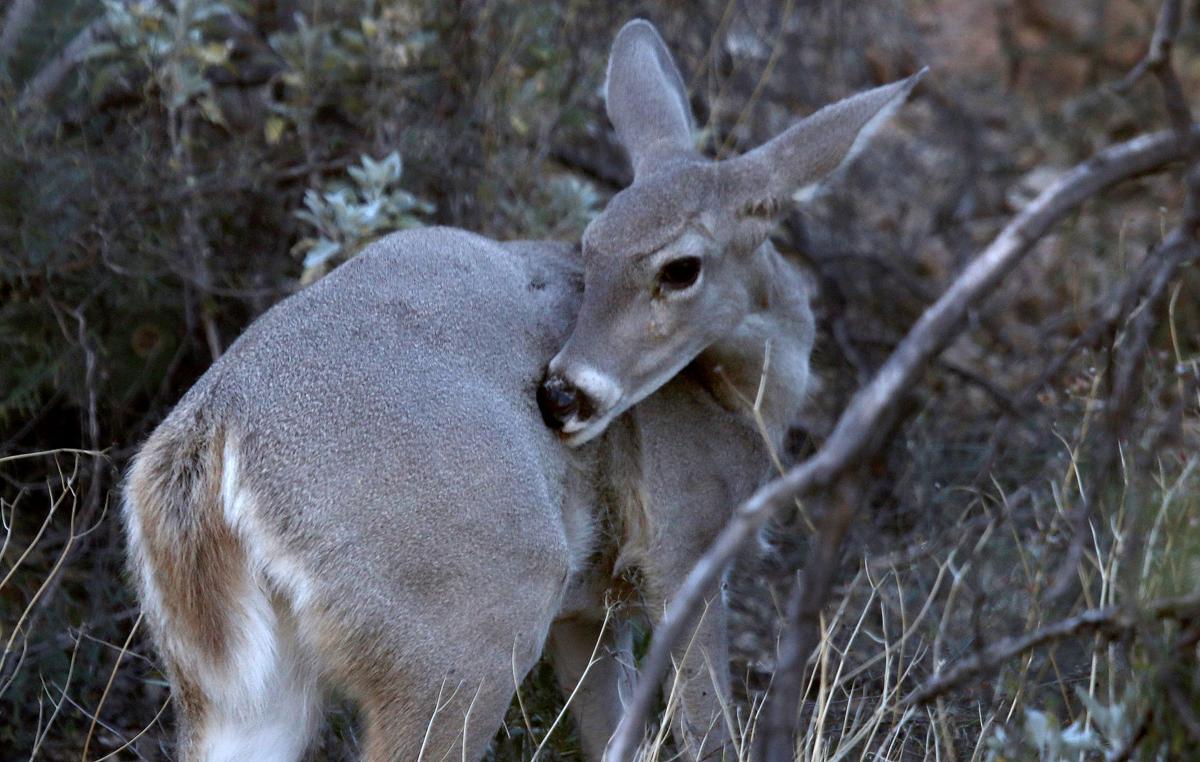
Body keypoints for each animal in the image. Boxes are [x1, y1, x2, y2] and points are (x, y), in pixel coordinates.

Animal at [122, 17, 921, 762]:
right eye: (591, 247)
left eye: (679, 267)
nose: (563, 396)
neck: (742, 405)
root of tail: (214, 435)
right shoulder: (685, 542)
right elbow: (706, 727)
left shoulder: (587, 611)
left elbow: (610, 733)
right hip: (470, 619)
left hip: (236, 683)